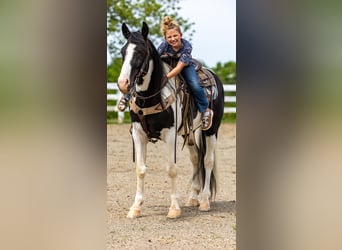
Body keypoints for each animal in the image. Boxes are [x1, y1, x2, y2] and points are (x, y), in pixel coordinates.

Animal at [117, 22, 224, 219]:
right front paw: (135, 208)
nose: (123, 83)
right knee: (196, 159)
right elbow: (140, 169)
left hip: (212, 130)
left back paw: (204, 201)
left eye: (141, 52)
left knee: (207, 160)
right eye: (123, 51)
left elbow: (172, 169)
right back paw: (193, 198)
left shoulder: (170, 134)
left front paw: (174, 208)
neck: (153, 97)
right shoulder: (138, 133)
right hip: (190, 133)